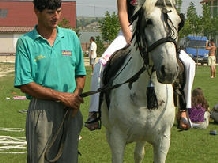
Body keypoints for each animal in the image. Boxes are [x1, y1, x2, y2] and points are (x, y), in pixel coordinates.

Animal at [101, 0, 182, 163]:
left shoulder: (163, 142)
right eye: (149, 21)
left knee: (138, 154)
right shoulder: (117, 140)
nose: (169, 70)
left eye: (178, 22)